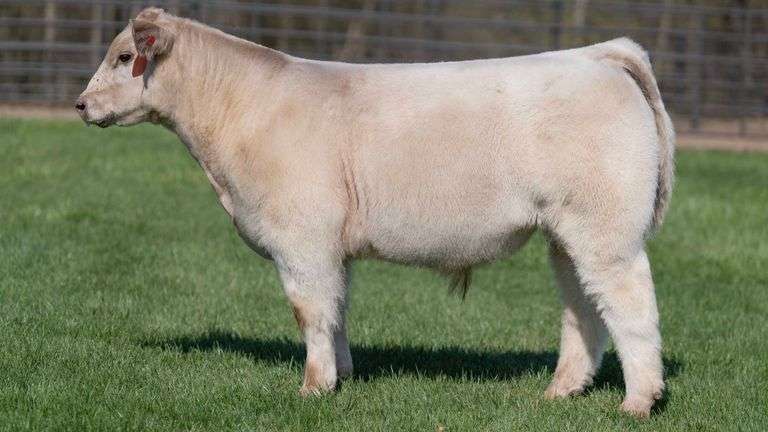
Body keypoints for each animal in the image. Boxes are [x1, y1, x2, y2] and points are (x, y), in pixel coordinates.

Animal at [76, 7, 675, 418]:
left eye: (125, 57)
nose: (81, 104)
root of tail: (594, 55)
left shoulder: (302, 240)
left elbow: (310, 311)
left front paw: (313, 387)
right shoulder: (331, 248)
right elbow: (337, 310)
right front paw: (341, 376)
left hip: (606, 229)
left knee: (631, 304)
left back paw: (639, 401)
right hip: (566, 233)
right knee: (583, 308)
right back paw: (561, 391)